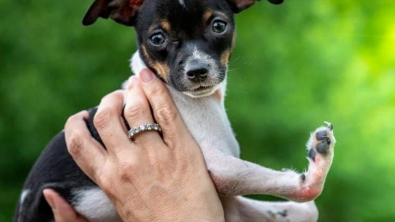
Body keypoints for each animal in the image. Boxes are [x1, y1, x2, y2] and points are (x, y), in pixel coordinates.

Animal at [13, 0, 338, 222]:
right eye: (157, 37)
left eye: (218, 25)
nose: (197, 71)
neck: (203, 105)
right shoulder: (217, 167)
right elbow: (305, 191)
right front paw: (316, 162)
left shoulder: (228, 204)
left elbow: (305, 211)